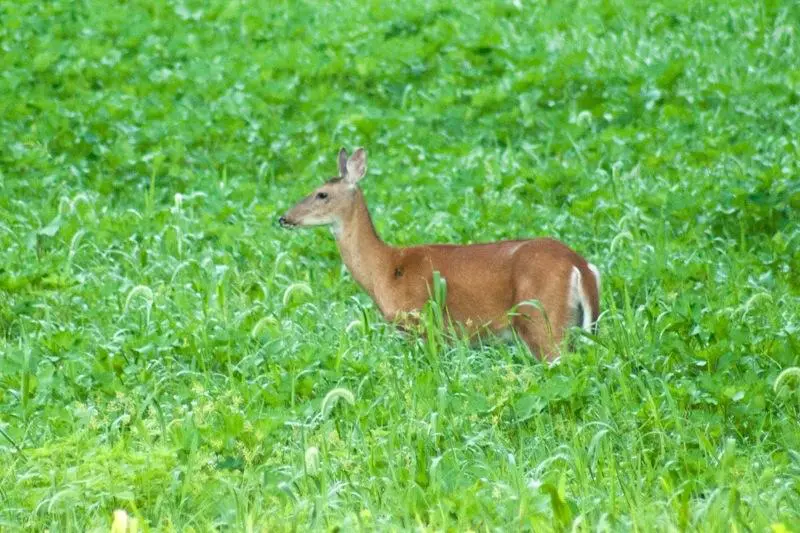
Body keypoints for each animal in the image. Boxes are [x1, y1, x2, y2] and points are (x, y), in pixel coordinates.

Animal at [282, 148, 600, 360]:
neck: (386, 268)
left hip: (541, 319)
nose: (284, 218)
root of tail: (580, 266)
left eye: (321, 193)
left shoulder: (421, 324)